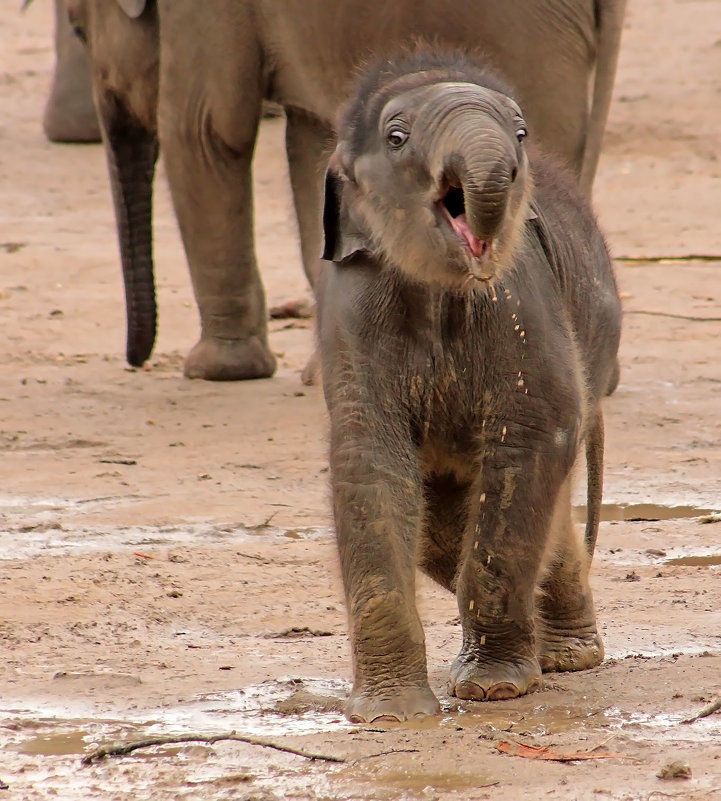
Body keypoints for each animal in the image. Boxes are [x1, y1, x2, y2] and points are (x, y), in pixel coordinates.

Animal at [318, 51, 620, 724]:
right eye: (396, 136)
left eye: (522, 132)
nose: (510, 168)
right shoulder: (351, 314)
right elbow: (369, 461)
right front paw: (390, 715)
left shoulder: (521, 297)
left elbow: (535, 434)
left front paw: (493, 689)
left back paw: (566, 658)